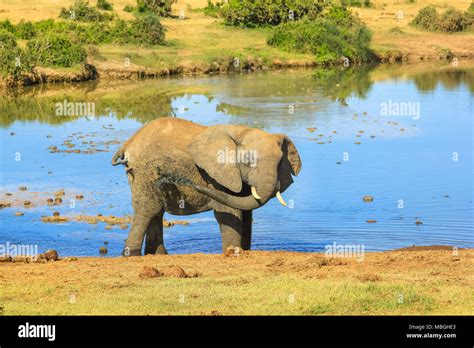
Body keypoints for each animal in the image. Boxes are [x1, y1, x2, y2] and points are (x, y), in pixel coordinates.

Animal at [112, 117, 300, 256]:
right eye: (248, 161)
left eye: (279, 163)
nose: (192, 185)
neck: (240, 132)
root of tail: (128, 143)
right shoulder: (217, 175)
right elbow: (228, 212)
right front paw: (233, 253)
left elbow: (246, 212)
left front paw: (244, 251)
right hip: (143, 171)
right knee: (148, 209)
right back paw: (131, 255)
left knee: (156, 211)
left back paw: (158, 254)